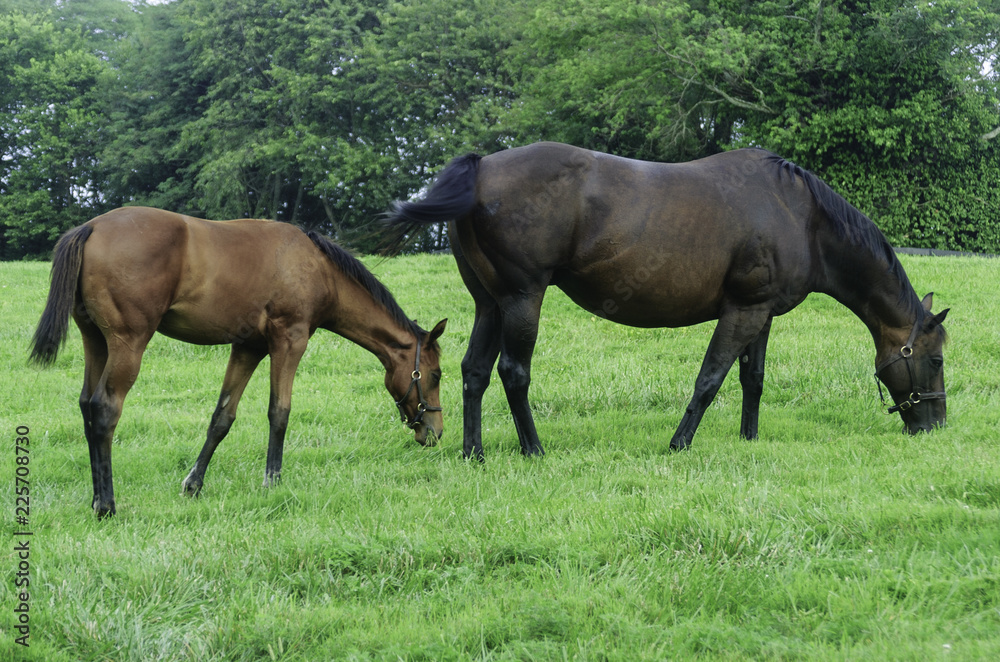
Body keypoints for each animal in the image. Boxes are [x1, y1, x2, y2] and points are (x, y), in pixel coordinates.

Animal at [31, 208, 446, 520]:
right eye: (436, 374)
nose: (436, 432)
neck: (317, 266)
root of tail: (90, 227)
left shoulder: (248, 347)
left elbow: (222, 417)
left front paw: (194, 483)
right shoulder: (289, 341)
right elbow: (279, 412)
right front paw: (272, 481)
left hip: (96, 342)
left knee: (87, 405)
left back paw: (95, 498)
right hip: (127, 344)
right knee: (105, 408)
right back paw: (106, 504)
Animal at [386, 140, 948, 462]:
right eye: (937, 360)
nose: (935, 426)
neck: (801, 215)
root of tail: (481, 168)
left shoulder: (761, 314)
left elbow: (752, 379)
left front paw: (749, 439)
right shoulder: (742, 311)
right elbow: (710, 379)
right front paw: (680, 445)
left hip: (490, 304)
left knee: (475, 372)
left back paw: (474, 454)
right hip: (522, 299)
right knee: (513, 372)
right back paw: (533, 449)